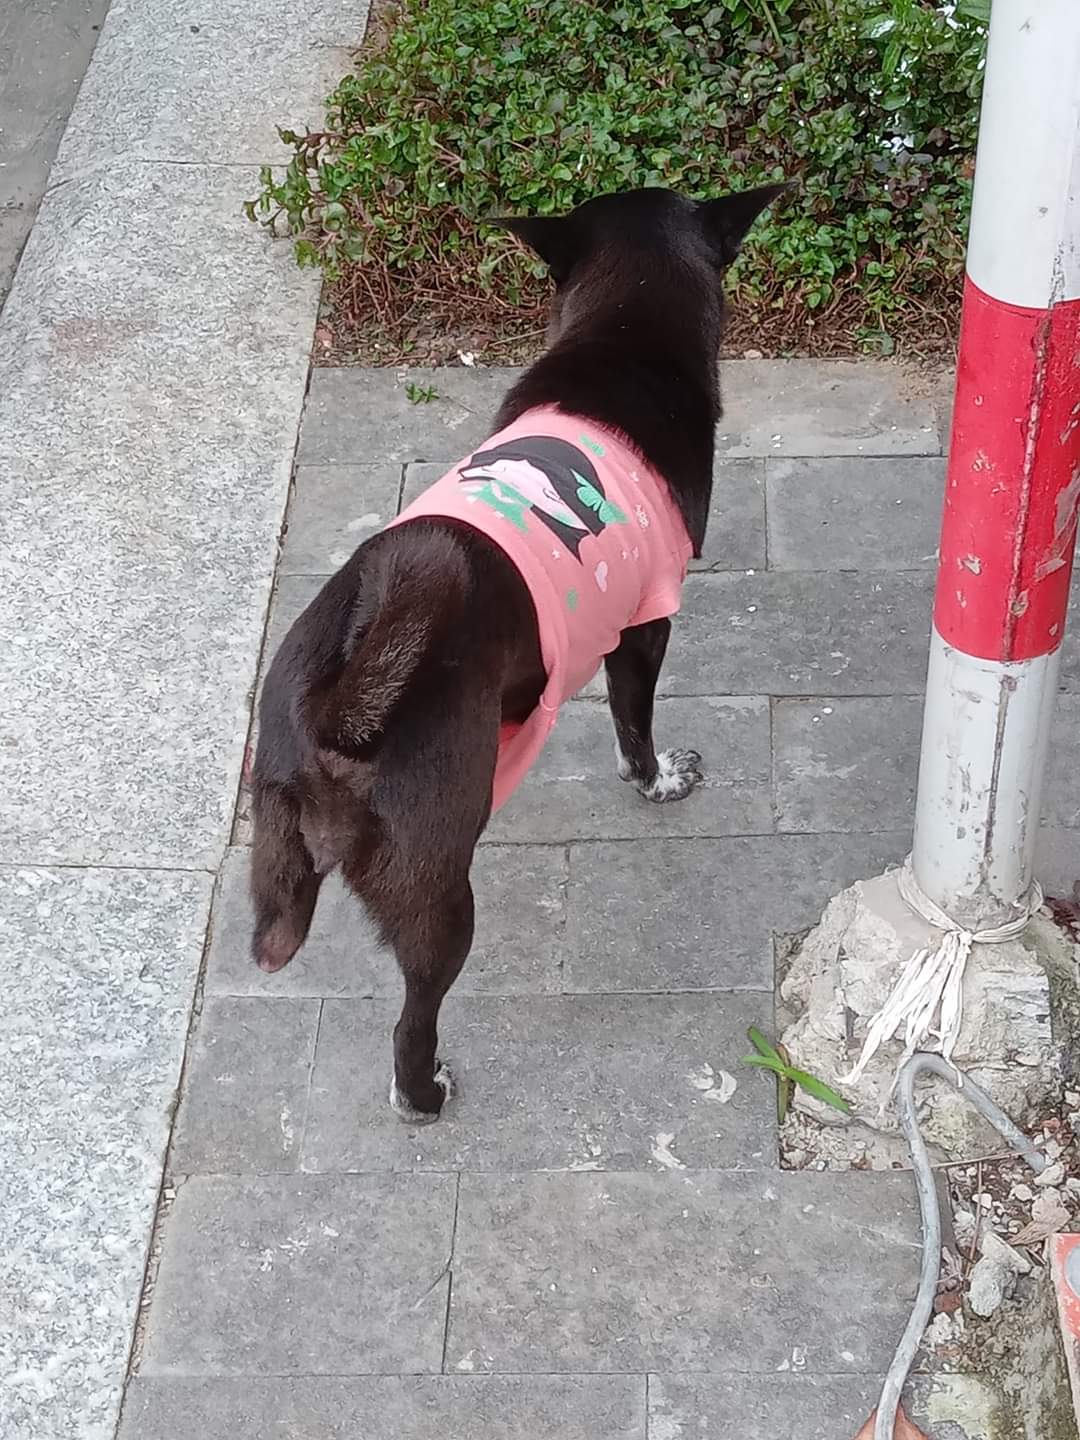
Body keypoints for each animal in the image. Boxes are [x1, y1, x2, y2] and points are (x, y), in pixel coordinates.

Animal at [253, 182, 789, 1123]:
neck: (622, 332)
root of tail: (332, 715)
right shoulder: (644, 627)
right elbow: (635, 728)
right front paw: (658, 781)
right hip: (438, 890)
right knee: (413, 1020)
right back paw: (424, 1093)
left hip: (279, 863)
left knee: (280, 935)